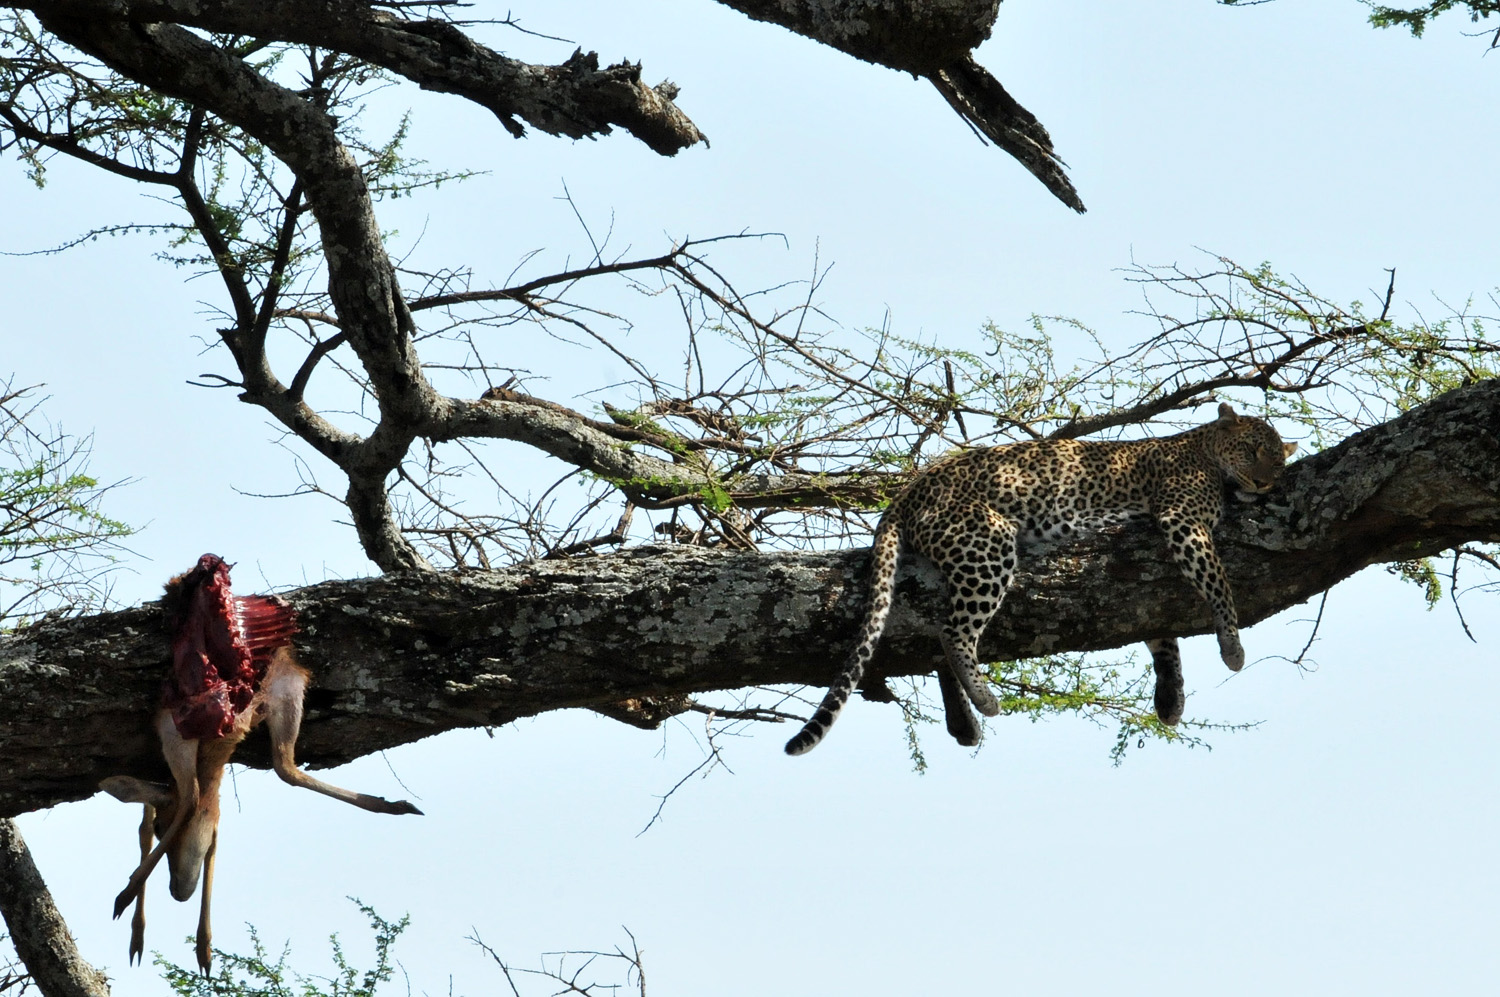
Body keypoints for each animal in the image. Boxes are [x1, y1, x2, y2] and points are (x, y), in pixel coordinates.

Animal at [792, 401, 1296, 749]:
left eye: (1279, 460)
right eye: (1252, 449)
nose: (1264, 483)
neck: (1203, 447)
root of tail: (906, 492)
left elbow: (1159, 632)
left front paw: (1170, 698)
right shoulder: (1182, 519)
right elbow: (1219, 582)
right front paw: (1232, 647)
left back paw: (964, 722)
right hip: (988, 540)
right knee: (952, 631)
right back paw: (985, 701)